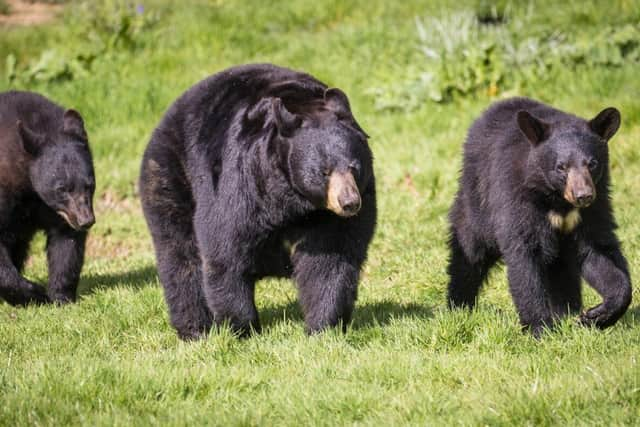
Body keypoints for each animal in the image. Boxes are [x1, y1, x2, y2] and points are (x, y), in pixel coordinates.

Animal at [0, 91, 96, 308]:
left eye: (89, 184)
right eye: (62, 189)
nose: (86, 221)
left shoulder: (58, 212)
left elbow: (66, 244)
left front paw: (61, 297)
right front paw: (33, 293)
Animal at [140, 63, 376, 342]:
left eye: (354, 167)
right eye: (324, 172)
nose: (349, 202)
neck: (293, 202)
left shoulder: (330, 217)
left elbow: (331, 260)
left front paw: (323, 328)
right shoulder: (243, 185)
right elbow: (226, 250)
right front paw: (242, 329)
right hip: (170, 174)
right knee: (180, 254)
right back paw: (195, 329)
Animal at [448, 97, 632, 338]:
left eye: (592, 164)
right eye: (561, 167)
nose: (583, 195)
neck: (558, 202)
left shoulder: (594, 207)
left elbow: (598, 251)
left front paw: (594, 316)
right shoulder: (517, 197)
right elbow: (525, 256)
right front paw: (540, 329)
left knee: (561, 268)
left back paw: (566, 312)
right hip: (477, 200)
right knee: (470, 250)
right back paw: (459, 305)